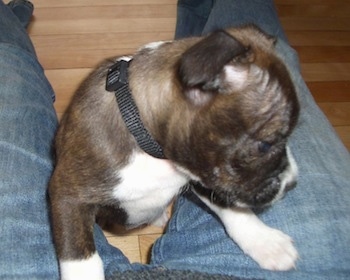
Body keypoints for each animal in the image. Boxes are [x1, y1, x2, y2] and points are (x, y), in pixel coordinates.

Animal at [48, 25, 300, 278]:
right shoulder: (68, 197)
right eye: (266, 145)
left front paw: (265, 242)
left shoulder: (203, 172)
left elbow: (231, 208)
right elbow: (80, 258)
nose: (292, 183)